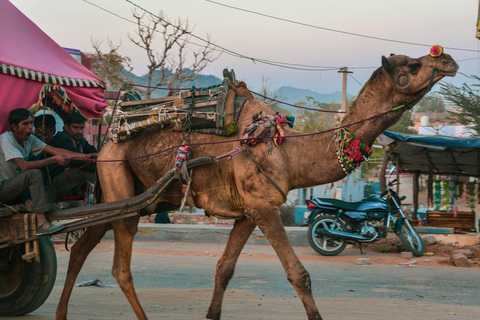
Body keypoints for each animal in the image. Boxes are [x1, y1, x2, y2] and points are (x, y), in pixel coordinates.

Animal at [54, 50, 456, 320]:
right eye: (413, 65)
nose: (448, 60)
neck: (289, 151)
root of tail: (105, 144)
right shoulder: (265, 207)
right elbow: (300, 275)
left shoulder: (248, 213)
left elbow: (224, 269)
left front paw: (212, 314)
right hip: (120, 187)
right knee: (119, 267)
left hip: (121, 196)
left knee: (81, 249)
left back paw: (61, 312)